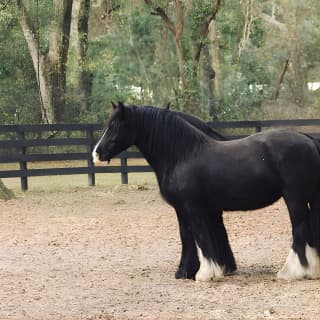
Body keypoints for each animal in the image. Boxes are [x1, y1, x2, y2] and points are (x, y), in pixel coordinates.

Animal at [92, 102, 320, 280]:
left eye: (116, 126)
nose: (96, 154)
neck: (183, 154)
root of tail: (307, 139)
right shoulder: (184, 209)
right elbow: (187, 235)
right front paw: (186, 271)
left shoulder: (193, 207)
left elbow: (201, 235)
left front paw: (205, 273)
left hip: (294, 197)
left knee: (299, 229)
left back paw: (292, 272)